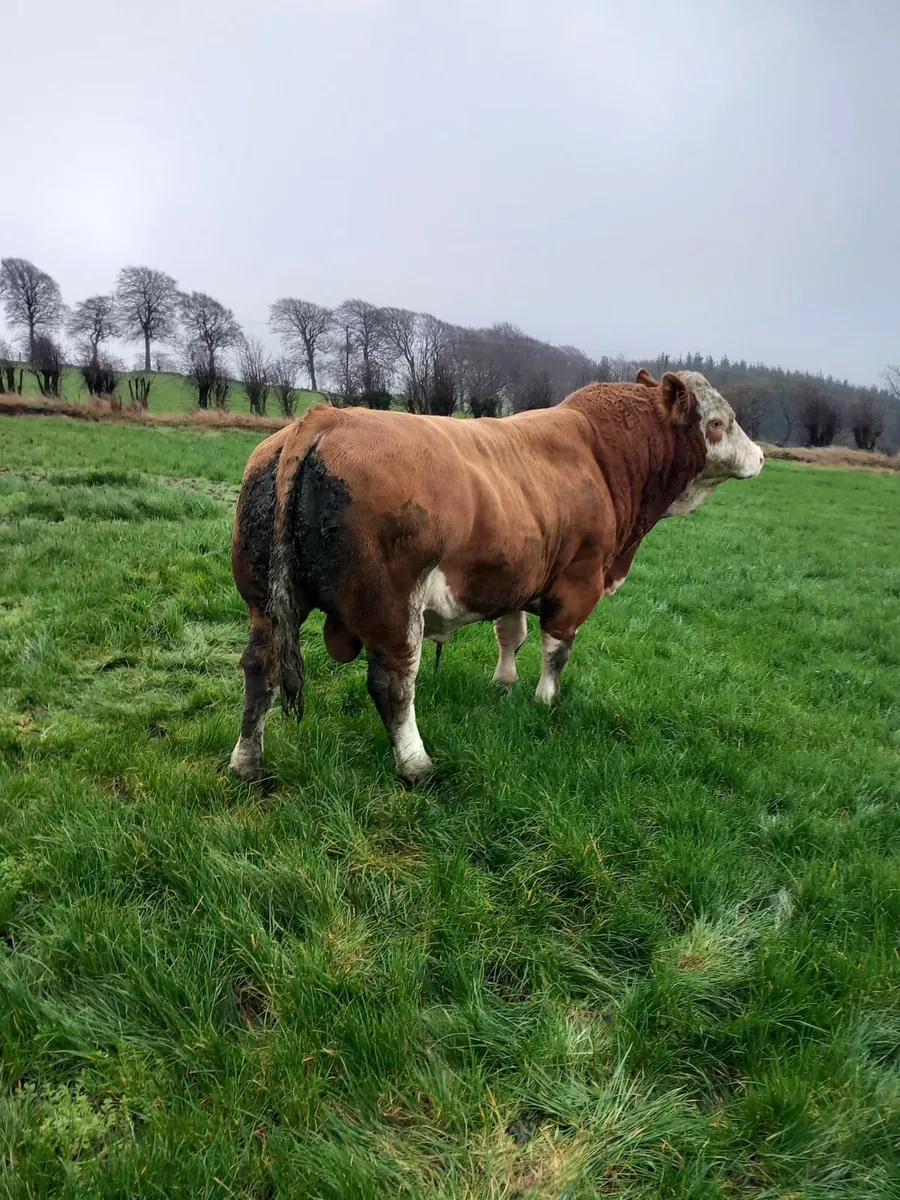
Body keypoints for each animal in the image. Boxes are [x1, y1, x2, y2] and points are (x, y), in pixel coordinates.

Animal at [229, 369, 763, 784]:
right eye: (719, 422)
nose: (760, 455)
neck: (605, 457)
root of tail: (325, 417)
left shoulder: (514, 576)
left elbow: (512, 634)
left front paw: (503, 686)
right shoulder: (578, 582)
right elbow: (556, 650)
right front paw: (546, 701)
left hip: (265, 601)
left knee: (261, 668)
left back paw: (247, 763)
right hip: (391, 606)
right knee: (393, 682)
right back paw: (416, 764)